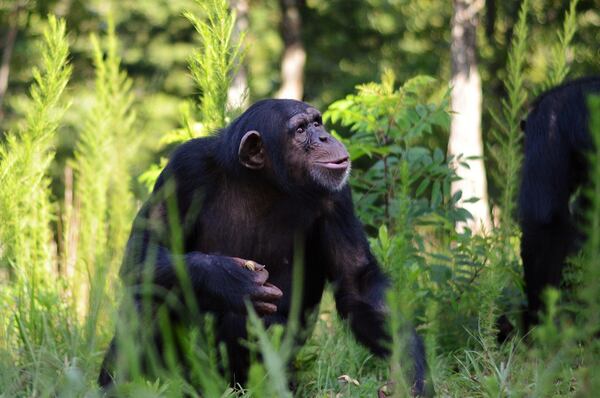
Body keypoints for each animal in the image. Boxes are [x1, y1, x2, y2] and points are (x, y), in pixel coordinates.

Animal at [97, 98, 426, 394]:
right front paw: (228, 278)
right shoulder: (183, 168)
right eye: (301, 129)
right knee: (151, 292)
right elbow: (143, 251)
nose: (324, 136)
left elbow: (357, 283)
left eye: (317, 123)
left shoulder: (336, 196)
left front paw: (408, 373)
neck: (262, 182)